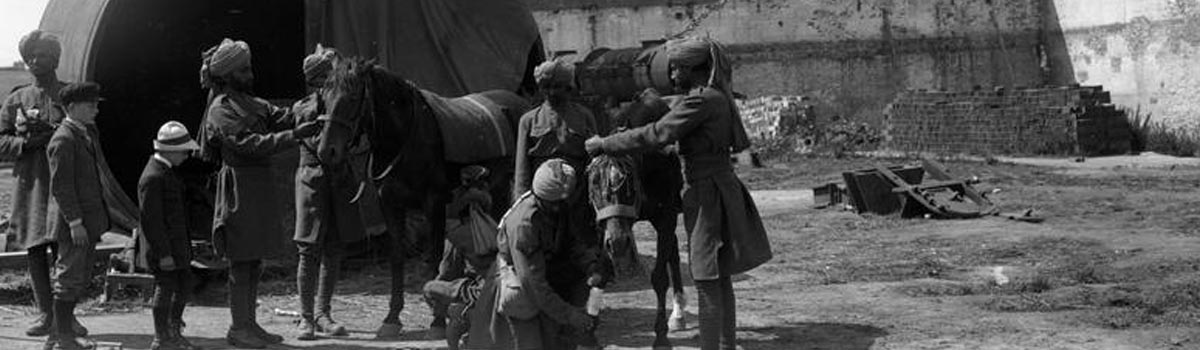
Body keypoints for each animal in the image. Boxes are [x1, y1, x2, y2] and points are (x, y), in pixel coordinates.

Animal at [319, 56, 530, 328]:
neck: (404, 140)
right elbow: (397, 256)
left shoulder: (435, 203)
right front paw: (393, 315)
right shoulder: (389, 204)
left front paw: (438, 317)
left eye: (353, 97)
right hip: (499, 187)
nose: (327, 151)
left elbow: (434, 256)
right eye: (324, 94)